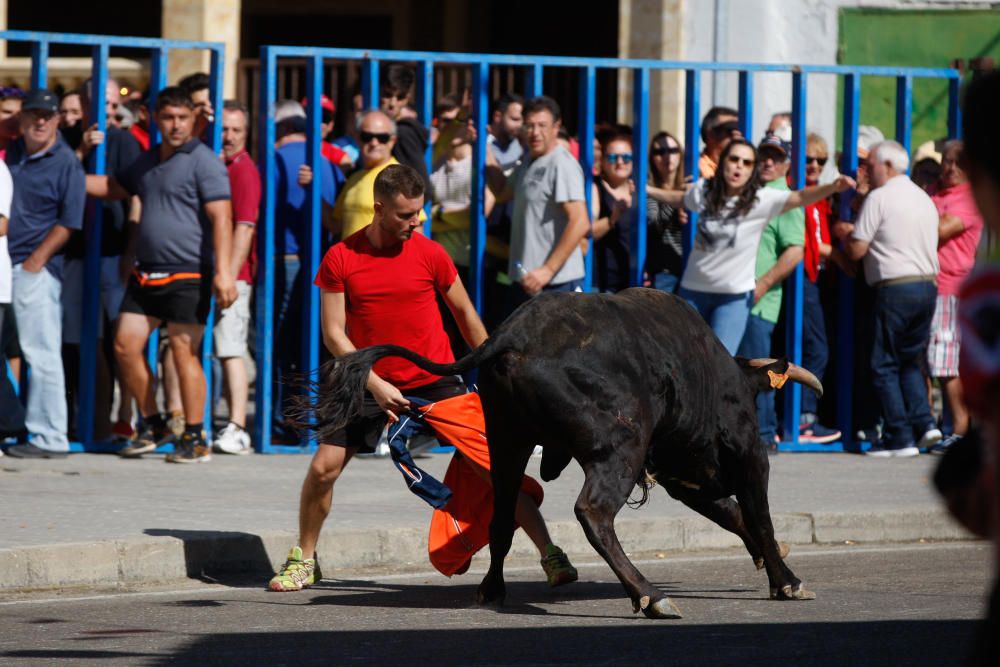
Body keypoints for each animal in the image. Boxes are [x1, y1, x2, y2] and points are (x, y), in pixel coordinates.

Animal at [310, 290, 820, 620]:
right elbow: (758, 516)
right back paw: (650, 596)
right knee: (593, 512)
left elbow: (733, 513)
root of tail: (513, 335)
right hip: (619, 447)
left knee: (502, 517)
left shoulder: (686, 478)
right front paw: (787, 581)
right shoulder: (747, 455)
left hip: (507, 441)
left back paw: (492, 590)